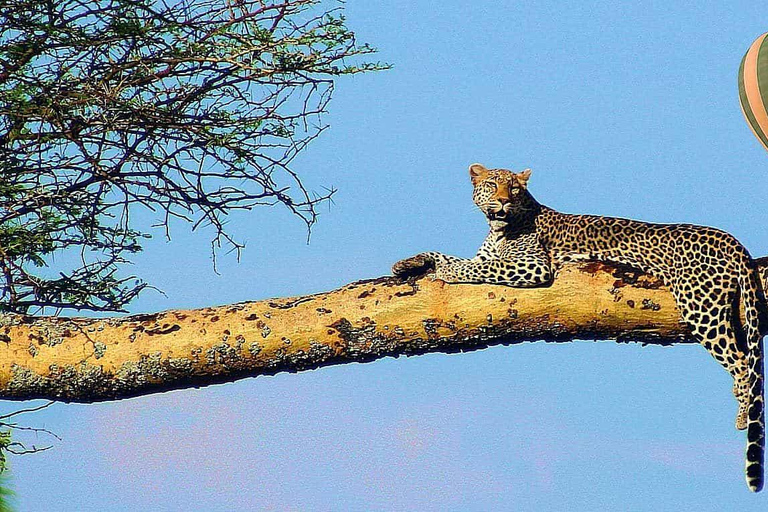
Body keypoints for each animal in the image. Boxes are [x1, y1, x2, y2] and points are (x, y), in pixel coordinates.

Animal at [392, 164, 764, 492]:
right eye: (493, 184)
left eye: (514, 188)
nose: (503, 201)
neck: (498, 229)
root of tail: (734, 242)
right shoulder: (489, 256)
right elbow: (455, 257)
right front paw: (409, 263)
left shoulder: (533, 266)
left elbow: (476, 267)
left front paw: (445, 270)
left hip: (699, 306)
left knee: (743, 364)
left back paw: (742, 414)